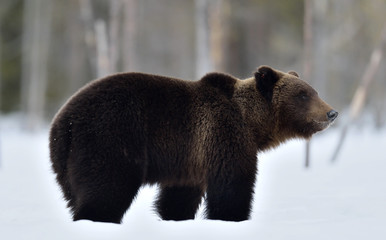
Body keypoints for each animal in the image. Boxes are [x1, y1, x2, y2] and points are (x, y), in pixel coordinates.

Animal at [49, 65, 338, 223]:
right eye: (303, 94)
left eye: (313, 91)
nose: (331, 112)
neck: (252, 123)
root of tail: (64, 121)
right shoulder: (224, 134)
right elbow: (232, 185)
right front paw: (232, 217)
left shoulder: (190, 159)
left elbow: (179, 197)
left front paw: (174, 216)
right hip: (110, 137)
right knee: (106, 190)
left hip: (66, 162)